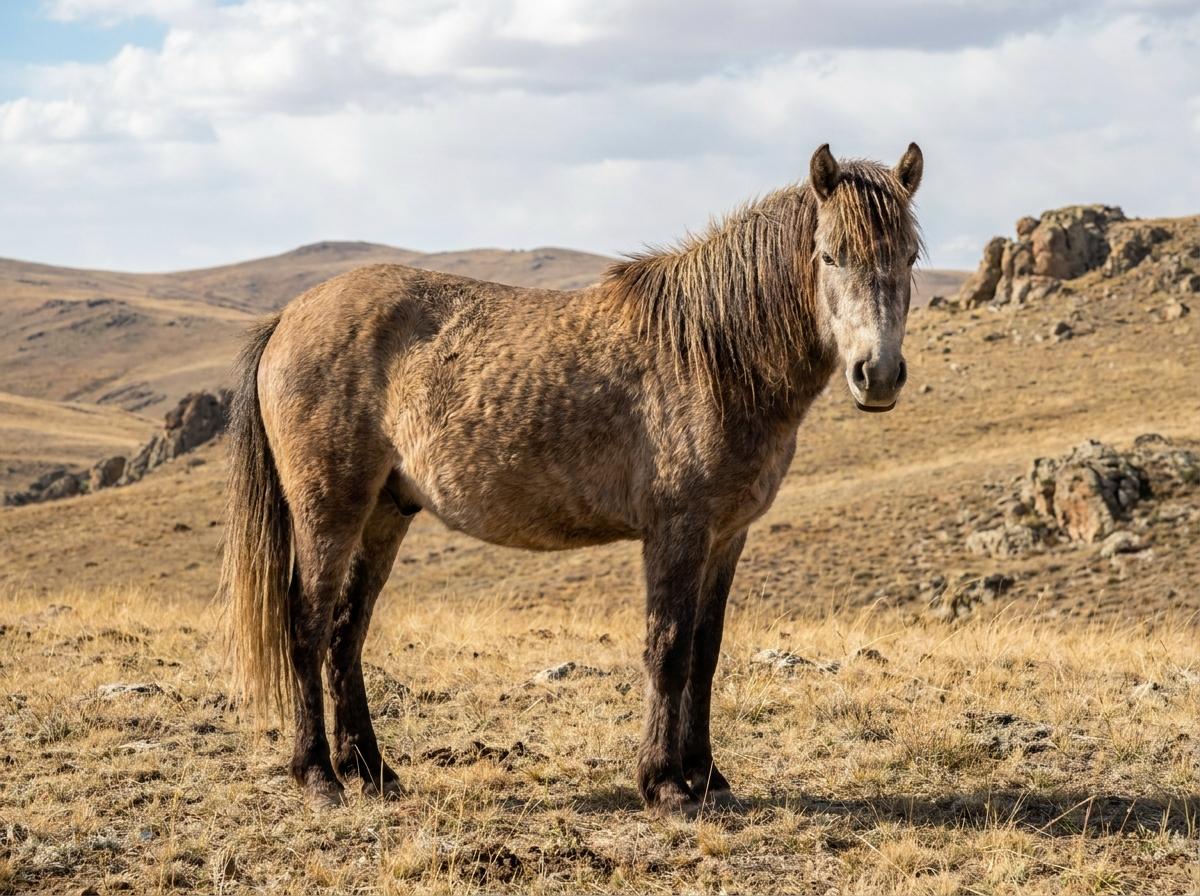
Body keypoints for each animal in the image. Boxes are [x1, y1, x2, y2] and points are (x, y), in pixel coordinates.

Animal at [220, 142, 924, 815]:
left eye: (911, 257)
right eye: (830, 255)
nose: (877, 374)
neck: (713, 354)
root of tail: (287, 318)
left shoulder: (727, 536)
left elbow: (705, 651)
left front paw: (708, 779)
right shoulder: (677, 532)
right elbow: (668, 648)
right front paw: (665, 785)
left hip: (385, 513)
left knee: (345, 634)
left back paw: (372, 773)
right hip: (329, 512)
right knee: (306, 630)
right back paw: (318, 777)